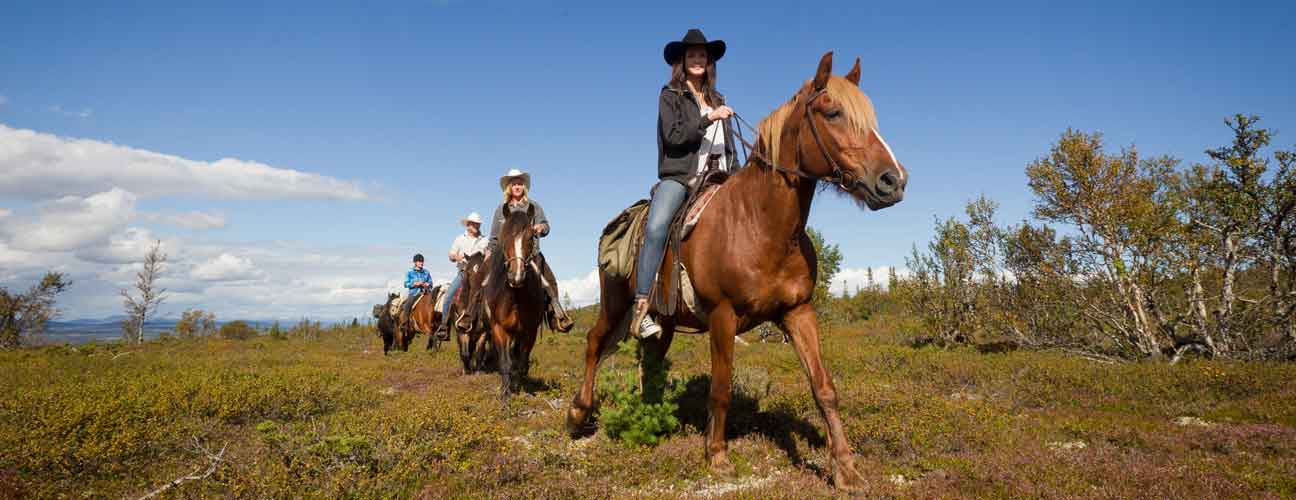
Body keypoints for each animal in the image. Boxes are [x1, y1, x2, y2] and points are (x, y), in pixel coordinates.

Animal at [484, 205, 549, 398]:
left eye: (531, 237)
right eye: (504, 237)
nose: (517, 276)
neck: (515, 297)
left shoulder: (529, 332)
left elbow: (521, 362)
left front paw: (520, 389)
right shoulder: (499, 328)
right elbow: (505, 362)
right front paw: (505, 394)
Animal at [567, 52, 912, 489]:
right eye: (832, 112)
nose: (893, 181)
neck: (761, 225)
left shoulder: (798, 312)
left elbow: (824, 387)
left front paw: (846, 468)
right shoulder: (722, 315)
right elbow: (721, 389)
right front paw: (717, 456)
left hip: (663, 320)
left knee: (652, 360)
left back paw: (651, 418)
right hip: (614, 303)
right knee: (594, 343)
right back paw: (577, 413)